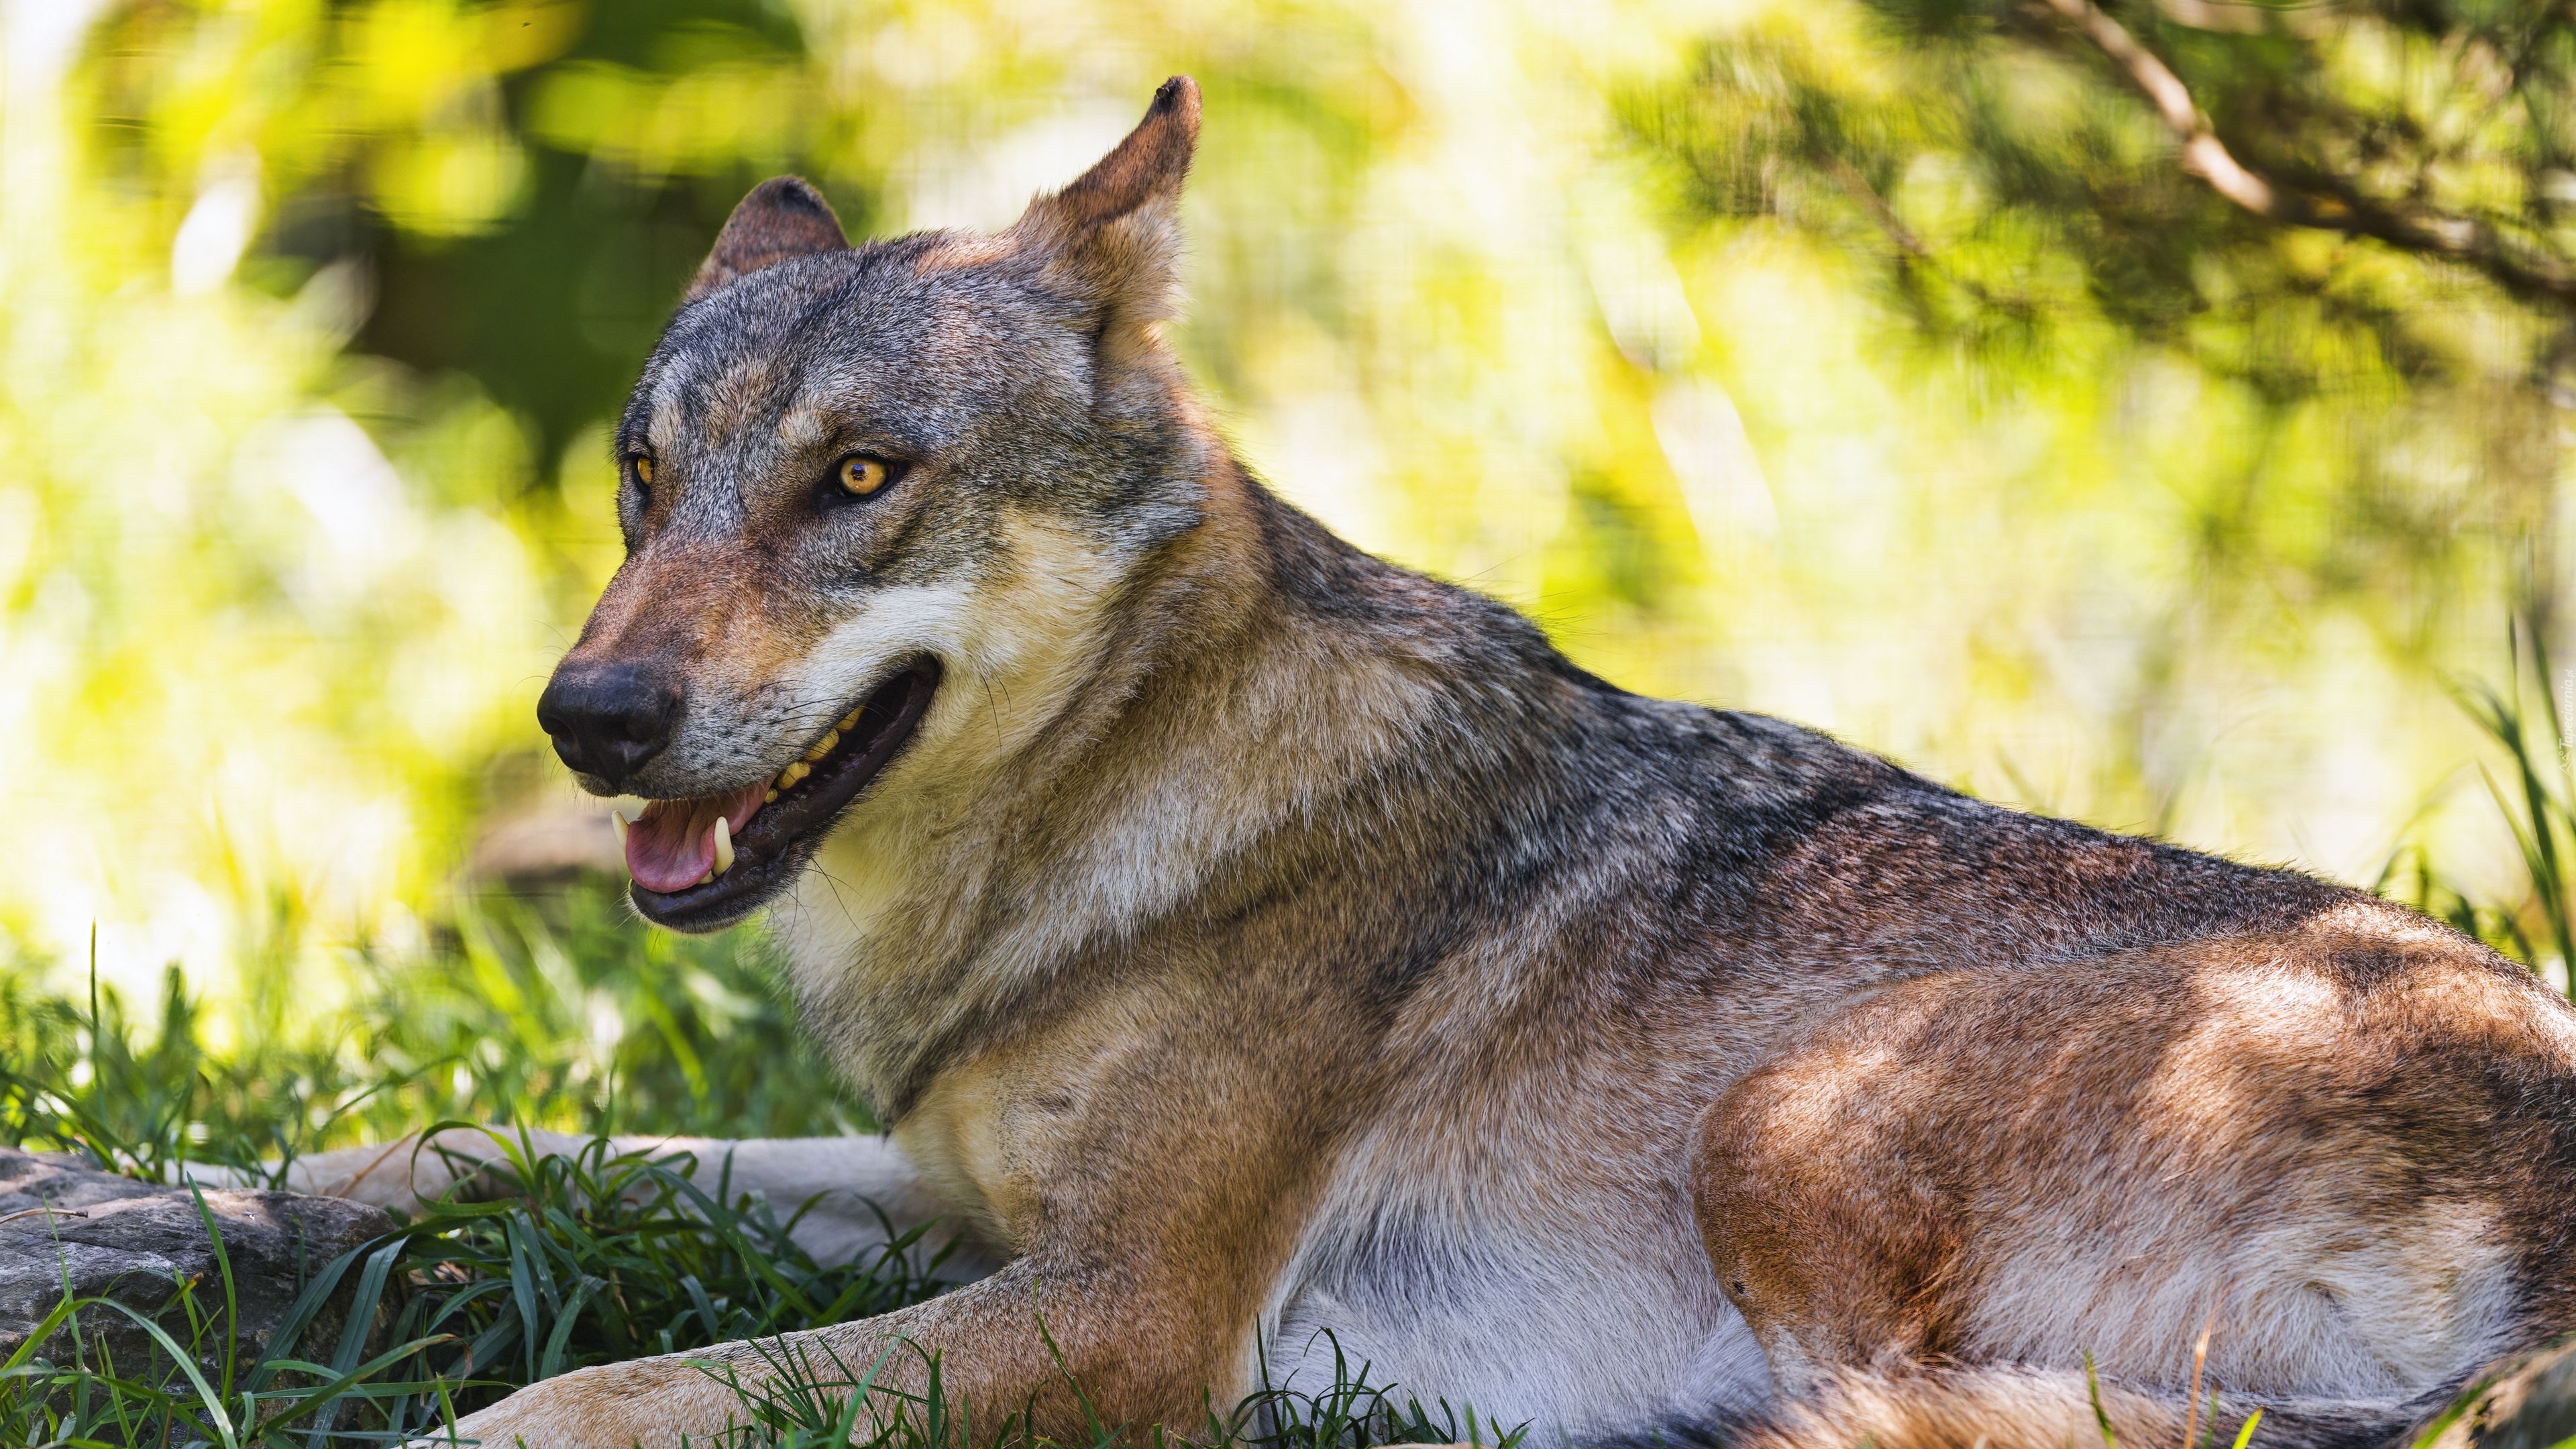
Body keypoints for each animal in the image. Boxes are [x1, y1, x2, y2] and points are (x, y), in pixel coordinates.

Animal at [266, 76, 2576, 1444]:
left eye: (858, 479)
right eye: (643, 487)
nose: (590, 721)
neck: (1110, 828)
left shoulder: (1122, 1311)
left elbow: (577, 1405)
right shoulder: (957, 1197)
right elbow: (488, 1147)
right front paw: (267, 1197)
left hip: (1777, 1120)